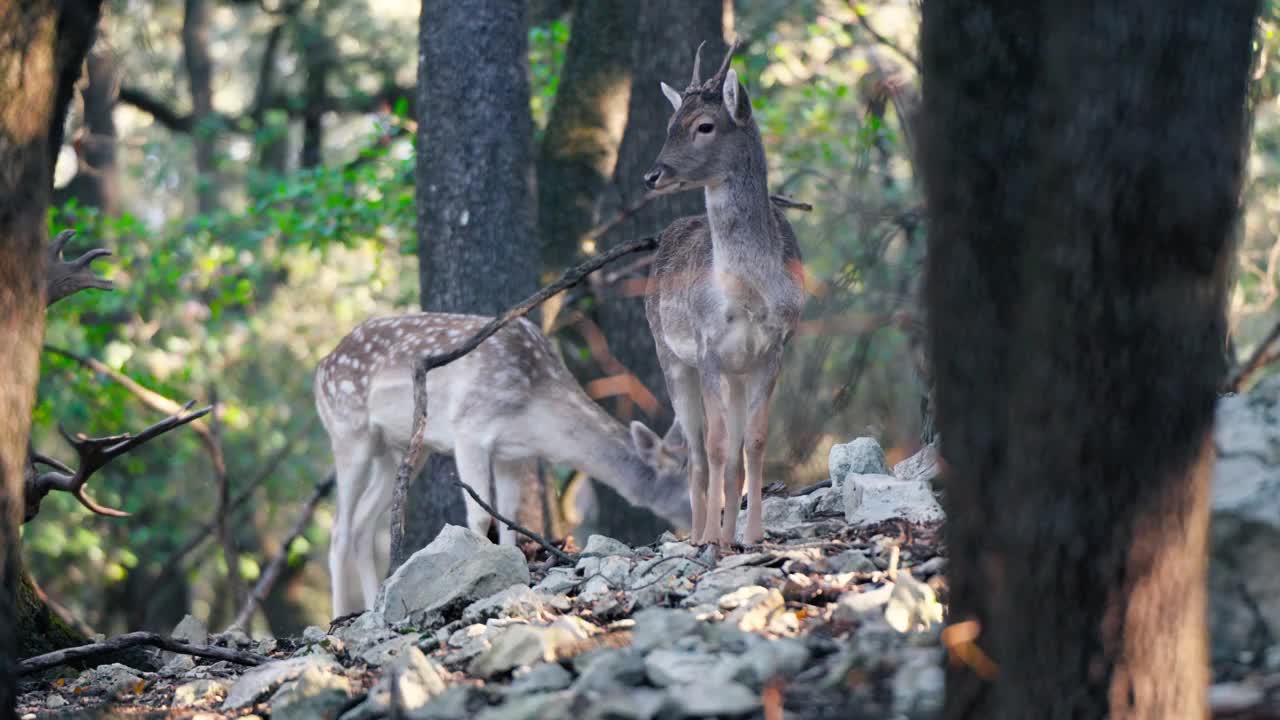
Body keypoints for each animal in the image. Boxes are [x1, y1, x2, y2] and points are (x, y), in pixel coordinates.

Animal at [316, 311, 696, 614]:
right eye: (689, 486)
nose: (702, 530)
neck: (534, 411)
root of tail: (320, 368)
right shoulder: (469, 429)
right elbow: (481, 515)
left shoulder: (512, 454)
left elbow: (509, 515)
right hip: (349, 433)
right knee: (339, 529)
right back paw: (339, 614)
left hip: (400, 450)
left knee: (363, 523)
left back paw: (371, 603)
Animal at [645, 41, 803, 540]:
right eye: (670, 124)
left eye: (704, 125)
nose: (652, 175)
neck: (747, 295)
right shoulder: (707, 345)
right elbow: (714, 447)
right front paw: (713, 539)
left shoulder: (774, 347)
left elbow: (753, 441)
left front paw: (752, 536)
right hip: (670, 355)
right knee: (696, 454)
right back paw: (699, 536)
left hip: (735, 371)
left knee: (730, 453)